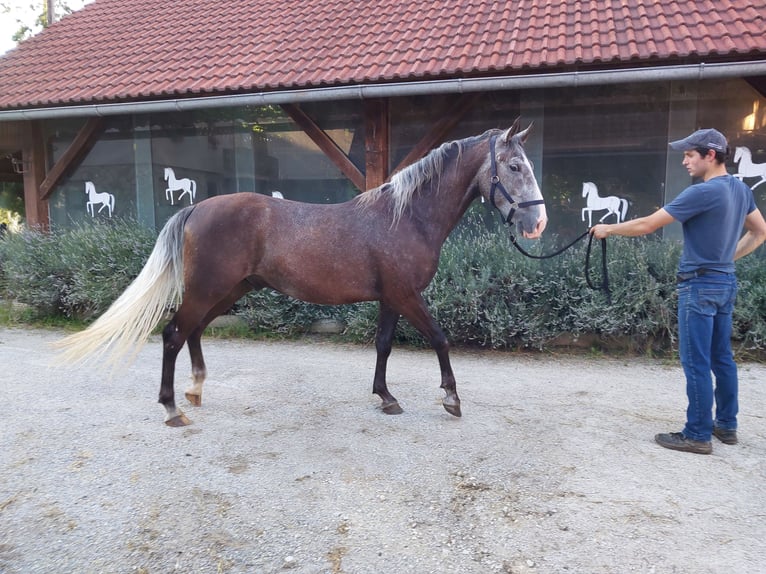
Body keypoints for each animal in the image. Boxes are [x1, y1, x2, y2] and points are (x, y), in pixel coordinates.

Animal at [57, 120, 548, 428]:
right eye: (515, 167)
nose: (537, 223)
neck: (405, 216)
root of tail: (196, 207)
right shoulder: (407, 295)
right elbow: (441, 339)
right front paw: (451, 398)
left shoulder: (391, 298)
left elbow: (384, 345)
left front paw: (386, 397)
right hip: (208, 289)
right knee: (174, 333)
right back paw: (173, 409)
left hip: (227, 291)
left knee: (192, 331)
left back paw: (195, 390)